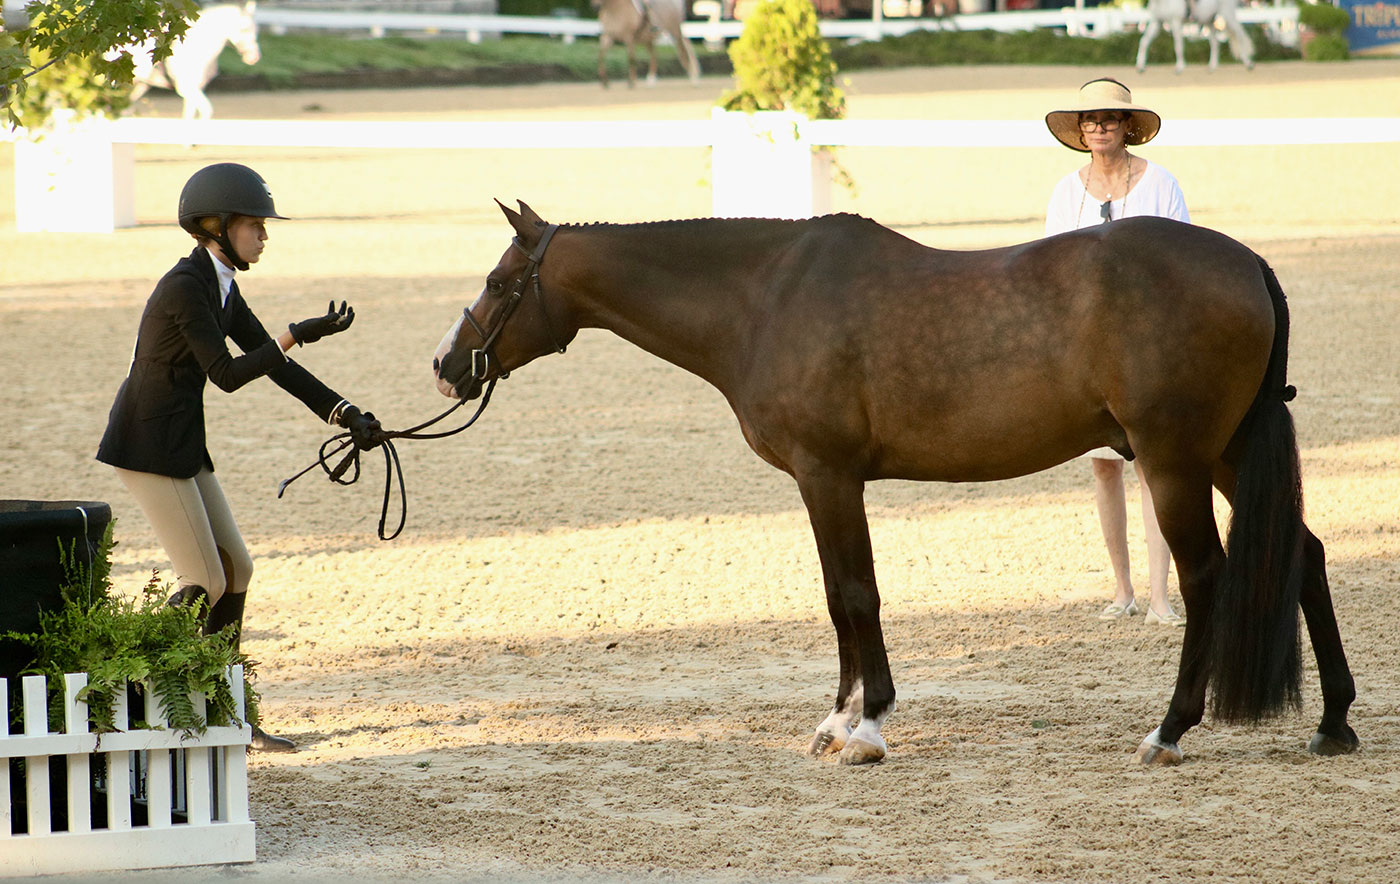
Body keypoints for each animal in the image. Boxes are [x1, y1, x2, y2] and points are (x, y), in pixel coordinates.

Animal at [119, 1, 261, 120]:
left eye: (256, 30)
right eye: (244, 29)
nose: (253, 57)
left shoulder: (195, 89)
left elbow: (189, 115)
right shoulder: (187, 88)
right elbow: (206, 110)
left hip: (137, 85)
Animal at [432, 201, 1360, 767]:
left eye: (500, 281)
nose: (446, 364)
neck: (764, 298)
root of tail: (1248, 264)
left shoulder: (829, 476)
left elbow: (855, 594)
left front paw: (868, 724)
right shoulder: (824, 484)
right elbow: (840, 597)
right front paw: (837, 719)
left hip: (1173, 462)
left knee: (1208, 578)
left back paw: (1168, 732)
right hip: (1225, 456)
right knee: (1306, 556)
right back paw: (1333, 722)